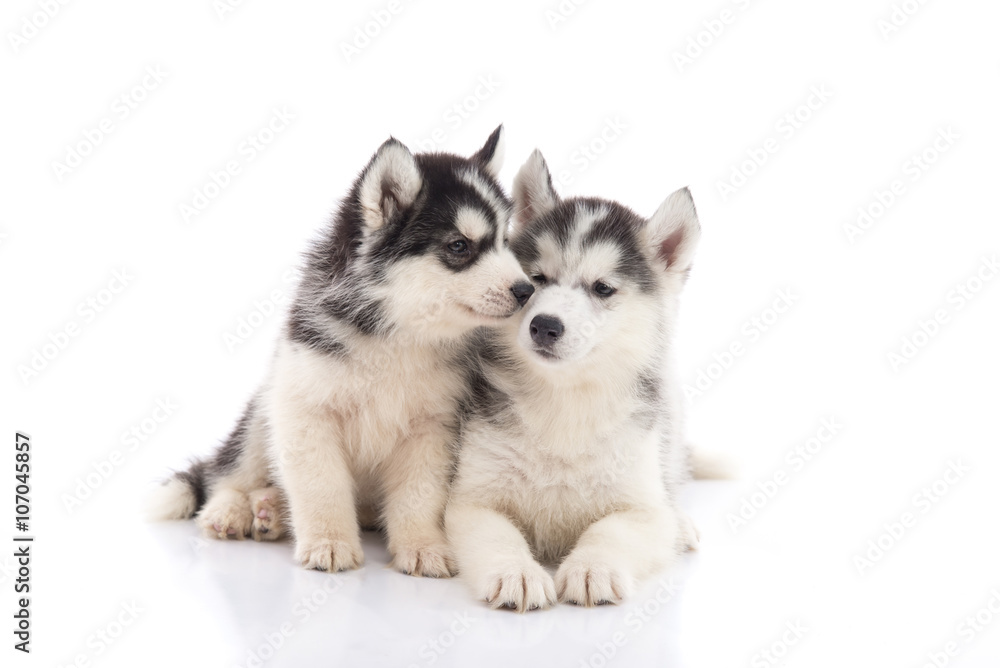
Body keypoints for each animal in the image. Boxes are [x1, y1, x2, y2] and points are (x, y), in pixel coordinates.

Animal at [149, 128, 536, 576]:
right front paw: (329, 542)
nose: (526, 291)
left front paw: (423, 546)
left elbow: (420, 495)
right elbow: (322, 485)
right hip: (263, 412)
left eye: (505, 242)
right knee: (225, 472)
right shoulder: (305, 408)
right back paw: (232, 510)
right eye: (459, 246)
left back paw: (272, 511)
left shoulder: (434, 426)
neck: (400, 335)